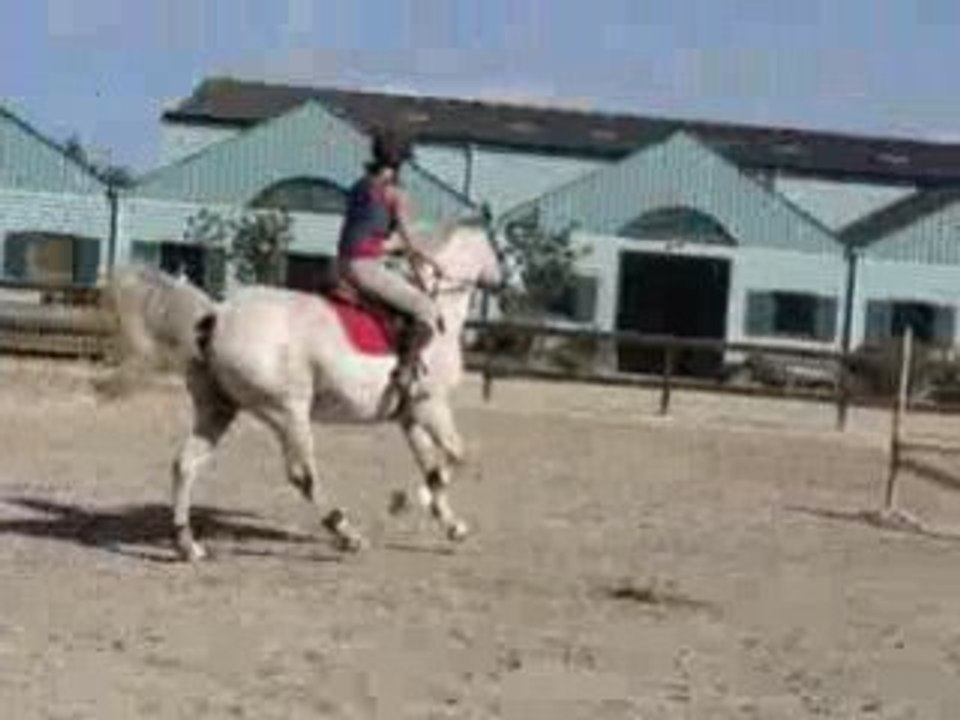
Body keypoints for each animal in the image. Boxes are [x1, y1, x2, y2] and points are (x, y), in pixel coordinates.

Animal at [97, 219, 506, 561]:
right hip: (287, 411)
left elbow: (434, 465)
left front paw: (452, 525)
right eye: (495, 249)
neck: (439, 310)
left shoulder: (410, 415)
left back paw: (188, 544)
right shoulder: (430, 406)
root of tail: (216, 315)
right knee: (302, 475)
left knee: (186, 465)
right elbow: (454, 458)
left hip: (218, 409)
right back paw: (347, 534)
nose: (502, 282)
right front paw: (406, 501)